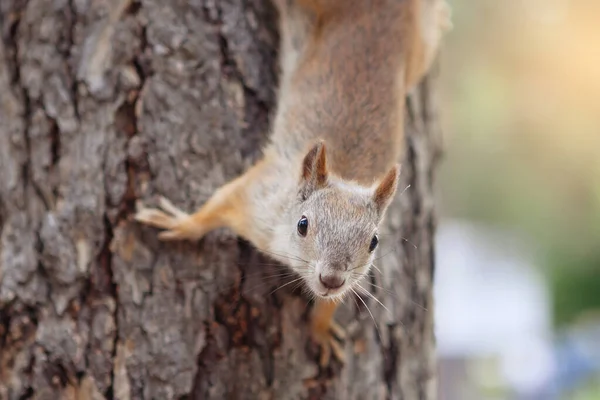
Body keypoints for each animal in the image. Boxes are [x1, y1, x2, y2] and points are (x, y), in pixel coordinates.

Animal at [132, 0, 450, 366]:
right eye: (303, 224)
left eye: (373, 242)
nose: (331, 278)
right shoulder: (257, 199)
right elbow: (218, 204)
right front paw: (180, 223)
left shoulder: (353, 277)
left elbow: (333, 301)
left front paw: (320, 329)